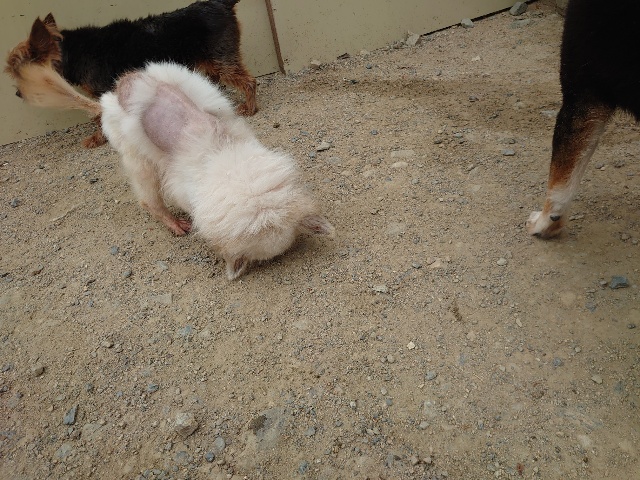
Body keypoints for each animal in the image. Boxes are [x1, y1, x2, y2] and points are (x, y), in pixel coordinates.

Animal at [5, 0, 257, 148]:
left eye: (18, 73)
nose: (16, 94)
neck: (71, 52)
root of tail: (220, 3)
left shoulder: (102, 92)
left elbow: (101, 118)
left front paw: (98, 138)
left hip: (222, 58)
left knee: (249, 81)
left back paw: (250, 108)